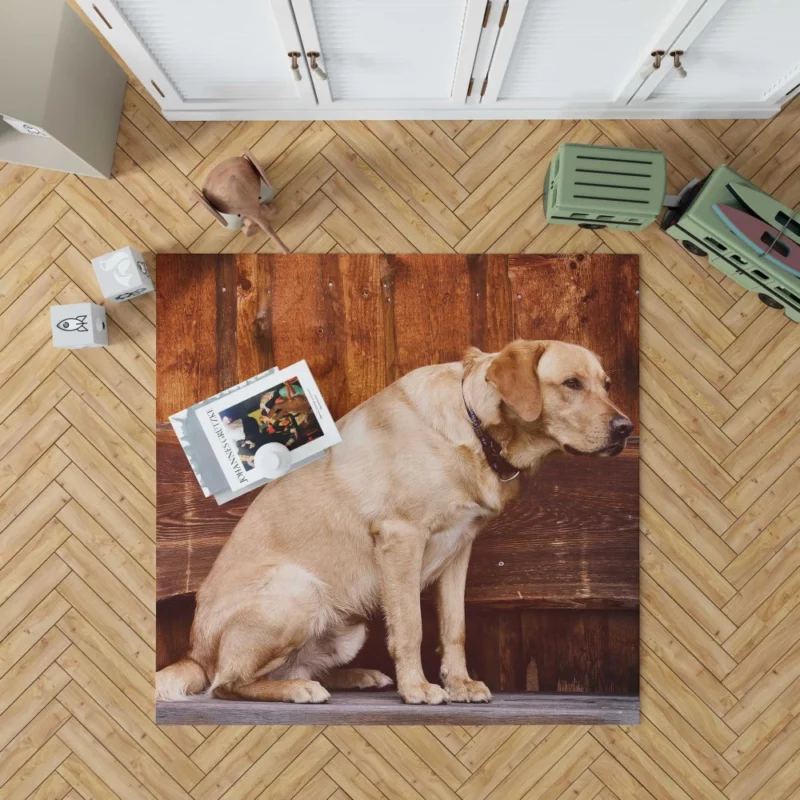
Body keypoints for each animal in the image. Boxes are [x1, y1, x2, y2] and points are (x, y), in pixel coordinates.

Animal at [156, 340, 632, 704]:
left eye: (606, 385)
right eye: (571, 384)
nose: (626, 428)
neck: (475, 428)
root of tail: (194, 653)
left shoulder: (459, 550)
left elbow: (454, 628)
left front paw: (459, 684)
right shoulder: (402, 539)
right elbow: (411, 628)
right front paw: (418, 689)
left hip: (347, 624)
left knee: (281, 670)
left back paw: (355, 676)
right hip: (299, 590)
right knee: (227, 683)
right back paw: (298, 690)